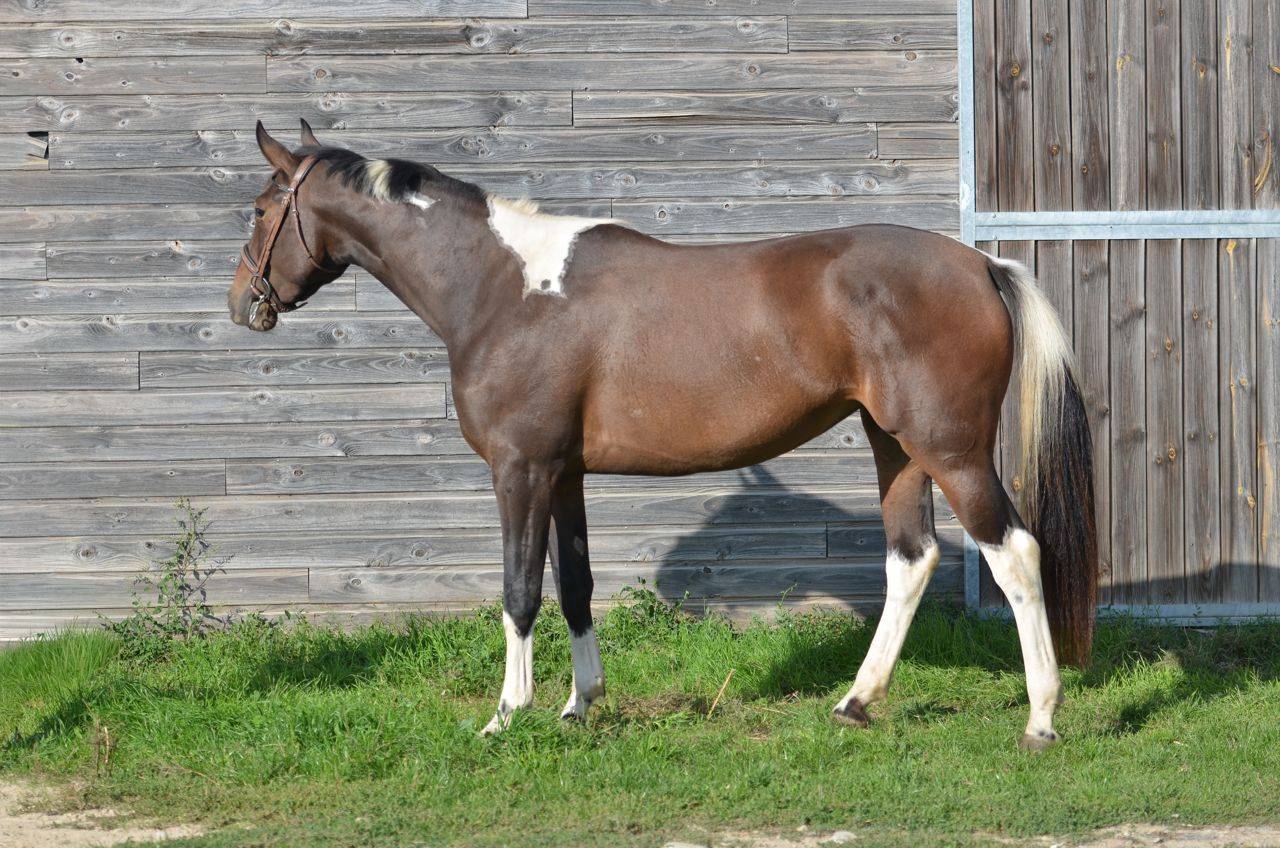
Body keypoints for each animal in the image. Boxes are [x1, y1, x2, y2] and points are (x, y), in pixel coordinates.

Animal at [229, 121, 1097, 749]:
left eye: (262, 210)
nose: (244, 303)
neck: (504, 288)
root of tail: (980, 265)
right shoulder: (563, 473)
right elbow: (575, 585)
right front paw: (580, 707)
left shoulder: (520, 468)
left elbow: (519, 591)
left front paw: (505, 716)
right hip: (898, 448)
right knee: (911, 560)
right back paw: (856, 702)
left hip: (951, 451)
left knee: (1015, 554)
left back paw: (1042, 718)